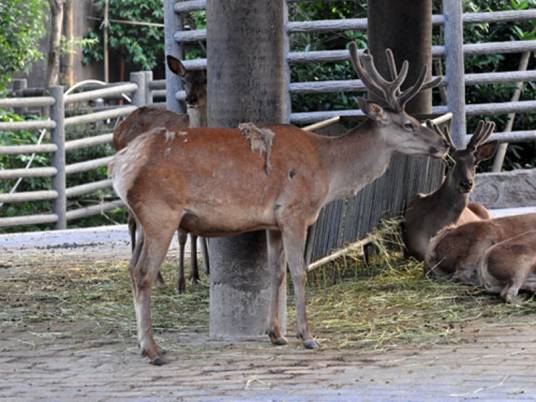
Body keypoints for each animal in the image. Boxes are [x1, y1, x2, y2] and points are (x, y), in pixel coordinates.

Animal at [113, 55, 209, 294]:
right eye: (184, 80)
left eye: (205, 79)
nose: (191, 99)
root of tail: (117, 130)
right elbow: (182, 234)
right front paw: (181, 282)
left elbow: (195, 231)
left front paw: (196, 275)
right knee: (132, 222)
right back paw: (153, 276)